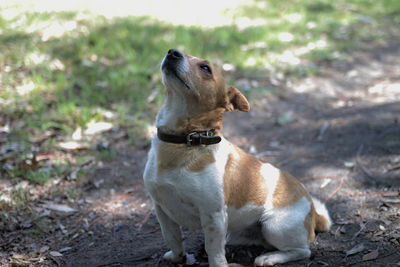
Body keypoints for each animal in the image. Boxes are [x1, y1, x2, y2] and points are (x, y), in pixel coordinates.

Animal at [144, 49, 332, 266]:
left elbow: (214, 251)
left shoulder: (214, 215)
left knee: (302, 251)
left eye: (205, 68)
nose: (172, 52)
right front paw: (177, 258)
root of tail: (314, 213)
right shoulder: (162, 210)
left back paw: (269, 258)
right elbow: (172, 238)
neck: (184, 141)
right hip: (239, 232)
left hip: (274, 226)